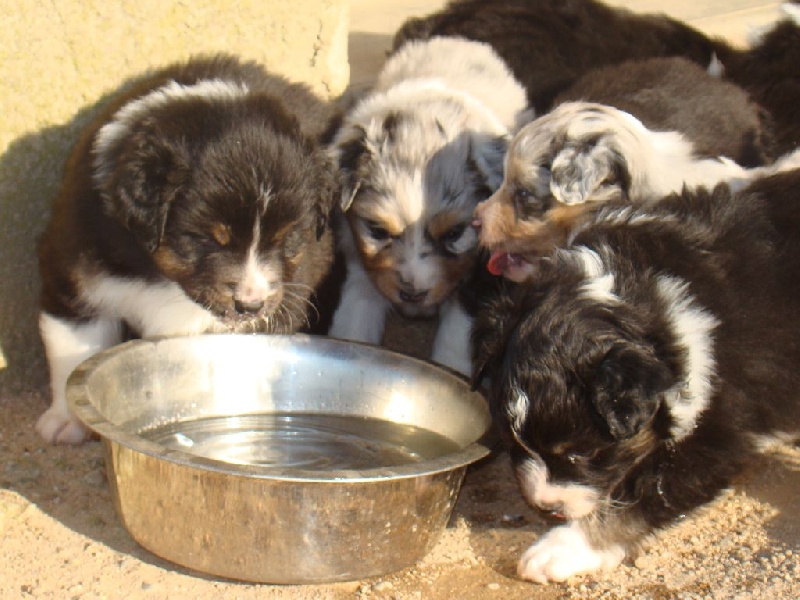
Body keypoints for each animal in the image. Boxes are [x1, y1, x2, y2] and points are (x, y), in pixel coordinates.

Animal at [36, 54, 338, 442]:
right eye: (206, 238)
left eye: (287, 238)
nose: (250, 305)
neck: (159, 276)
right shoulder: (74, 273)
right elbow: (72, 347)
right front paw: (66, 422)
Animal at [328, 36, 528, 376]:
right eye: (377, 230)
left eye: (455, 233)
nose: (413, 294)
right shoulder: (362, 267)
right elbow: (354, 321)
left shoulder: (478, 278)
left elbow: (457, 336)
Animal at [476, 171, 800, 584]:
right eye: (511, 442)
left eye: (584, 453)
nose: (547, 506)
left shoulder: (719, 431)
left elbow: (643, 493)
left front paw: (559, 549)